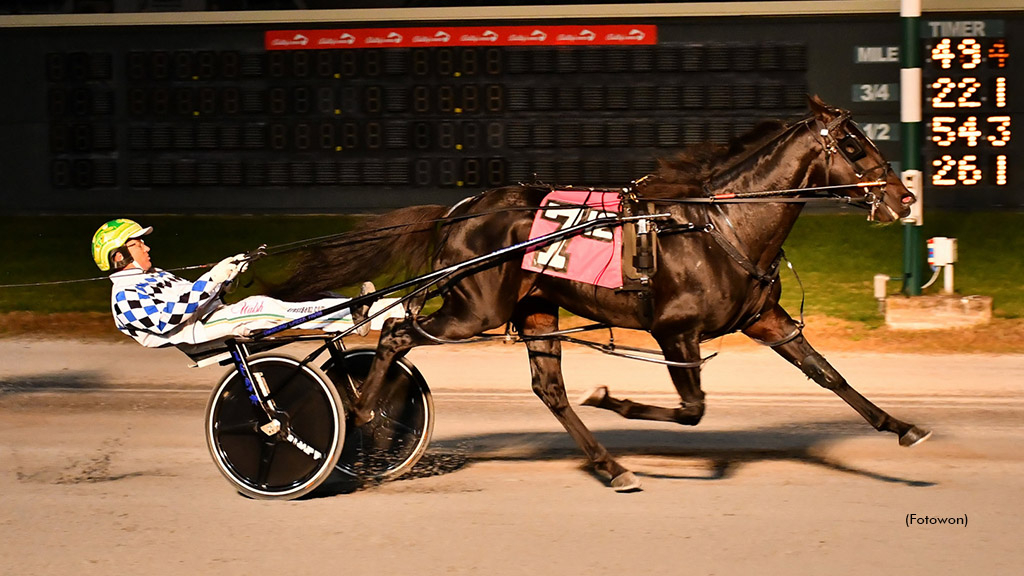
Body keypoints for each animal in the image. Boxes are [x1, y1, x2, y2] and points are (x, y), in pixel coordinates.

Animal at [272, 96, 929, 491]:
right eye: (854, 146)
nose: (904, 198)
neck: (719, 226)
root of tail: (460, 210)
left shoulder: (763, 319)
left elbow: (828, 374)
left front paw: (901, 427)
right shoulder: (675, 331)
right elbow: (693, 410)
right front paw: (613, 398)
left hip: (534, 308)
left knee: (547, 388)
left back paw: (611, 467)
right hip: (472, 308)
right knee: (394, 332)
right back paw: (364, 413)